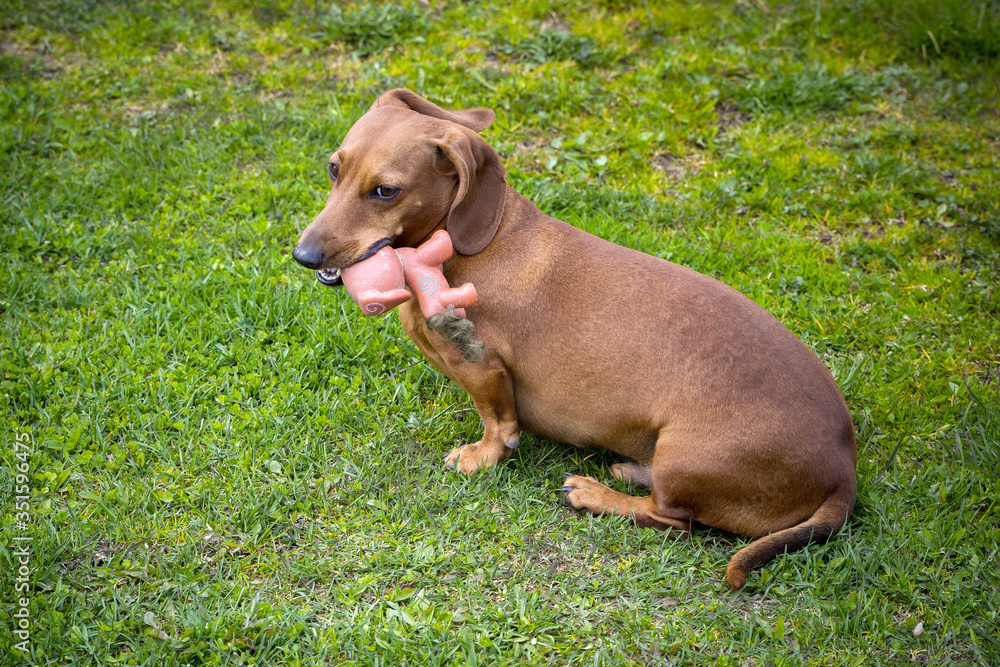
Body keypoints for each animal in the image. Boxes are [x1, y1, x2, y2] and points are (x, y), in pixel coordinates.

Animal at [292, 90, 856, 588]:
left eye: (386, 191)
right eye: (334, 168)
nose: (304, 256)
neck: (475, 243)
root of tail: (844, 470)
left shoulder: (484, 366)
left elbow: (498, 422)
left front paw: (481, 456)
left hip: (687, 454)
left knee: (672, 520)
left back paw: (594, 493)